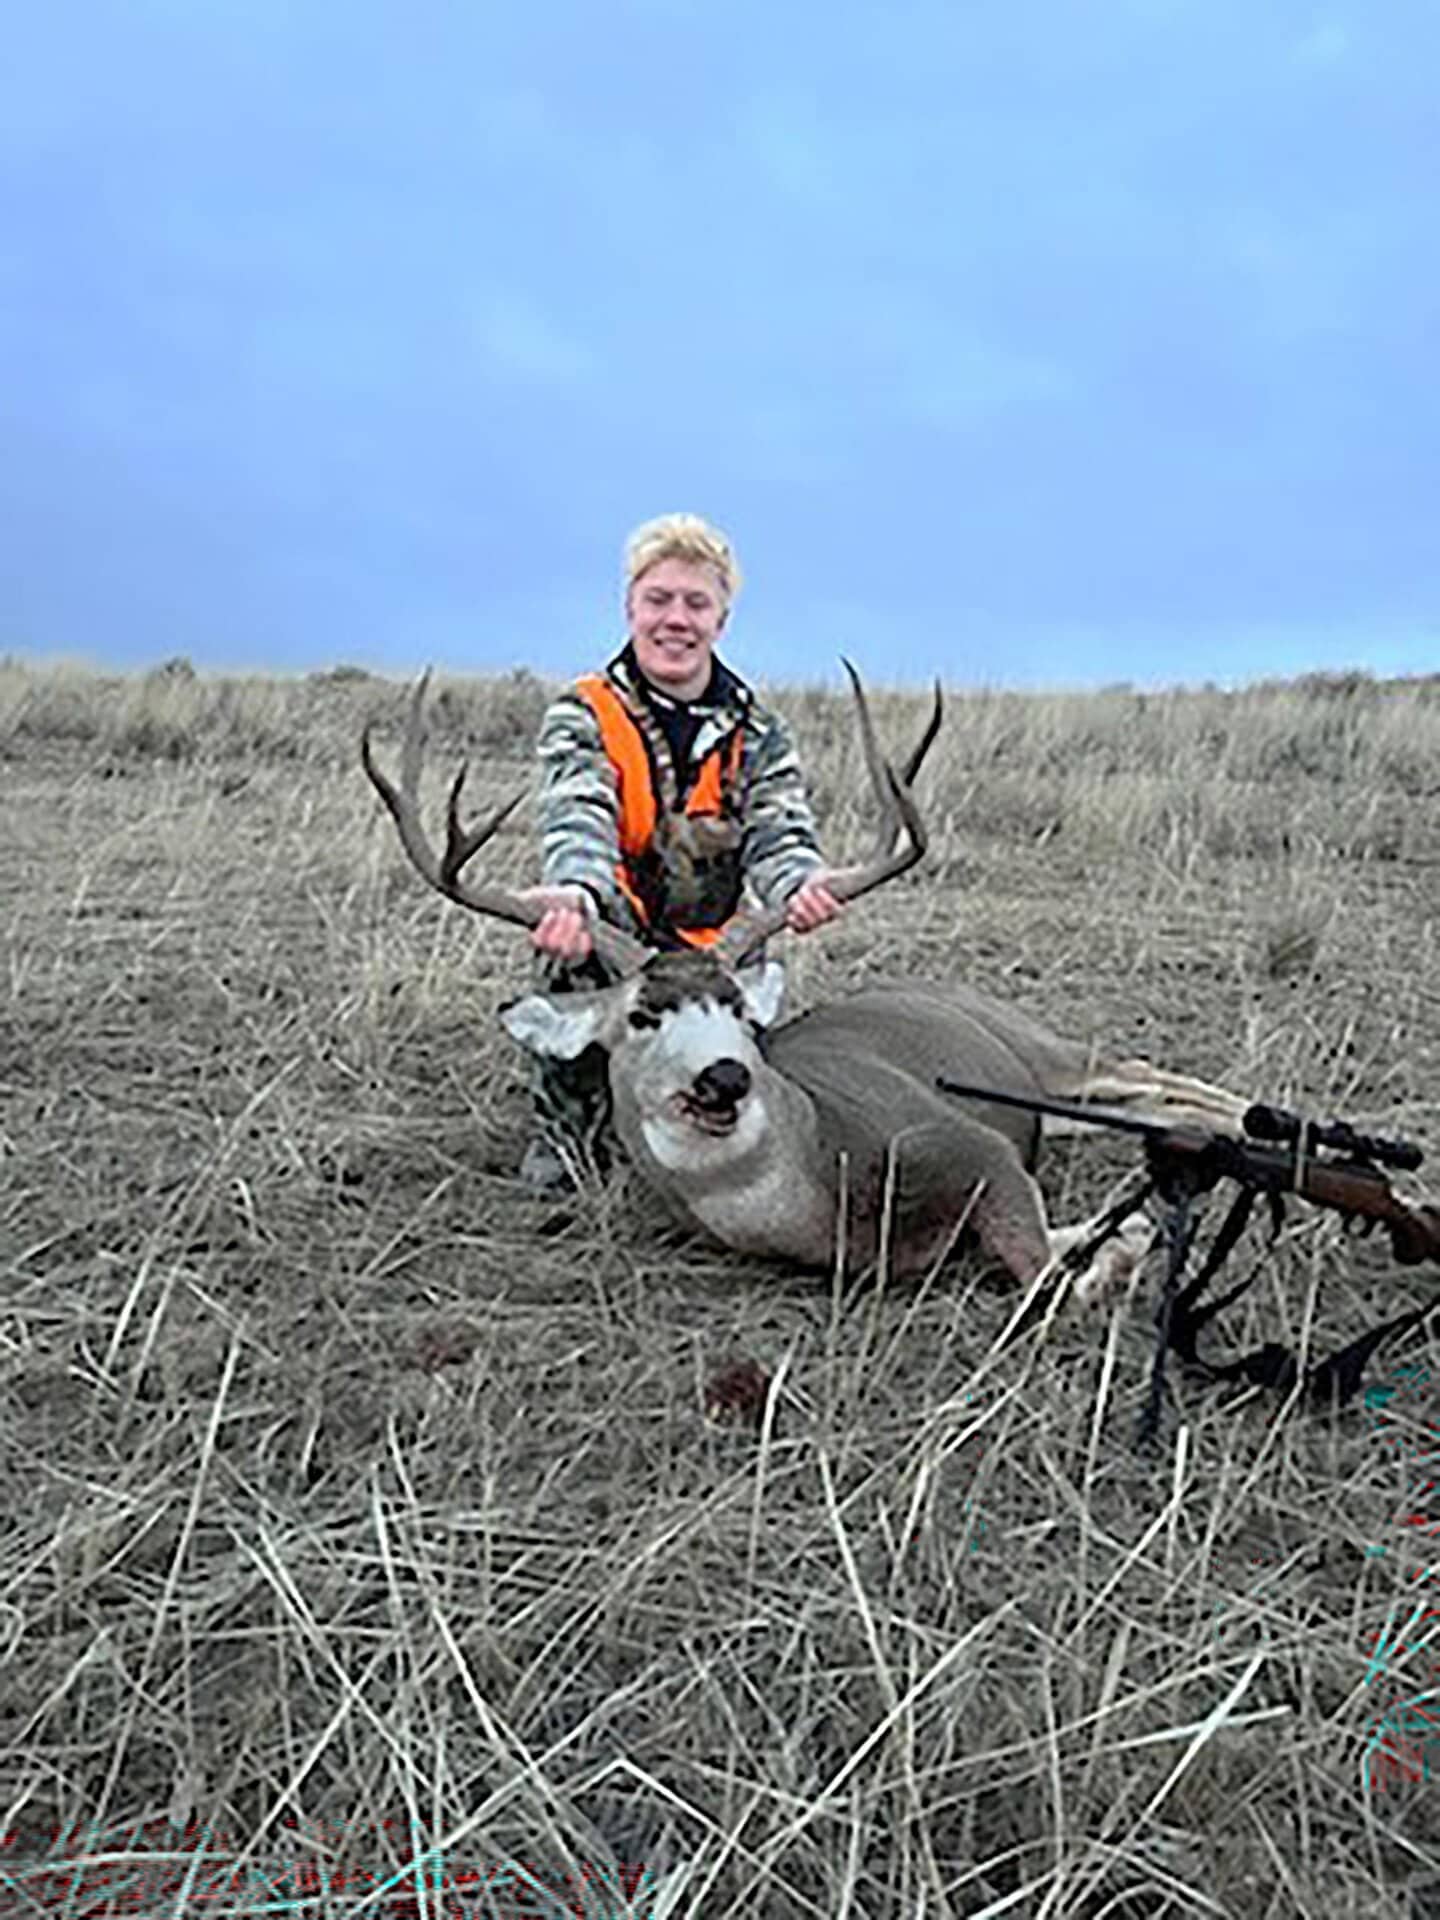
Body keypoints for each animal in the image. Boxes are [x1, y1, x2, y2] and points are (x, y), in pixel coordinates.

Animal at [361, 668, 1251, 1307]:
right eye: (643, 1016)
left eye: (736, 1010)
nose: (726, 1076)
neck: (818, 1177)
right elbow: (1071, 1251)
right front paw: (1125, 1237)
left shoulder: (979, 1146)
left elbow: (1043, 1275)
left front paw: (1126, 1250)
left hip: (1047, 1051)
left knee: (1150, 1073)